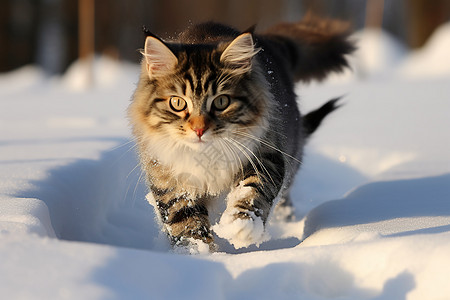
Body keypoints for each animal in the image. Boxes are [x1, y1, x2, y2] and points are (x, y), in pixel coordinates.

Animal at [128, 15, 354, 252]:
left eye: (221, 102)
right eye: (178, 103)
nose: (199, 129)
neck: (206, 156)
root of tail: (270, 41)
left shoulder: (265, 155)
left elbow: (252, 191)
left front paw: (241, 226)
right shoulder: (168, 178)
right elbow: (183, 220)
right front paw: (199, 252)